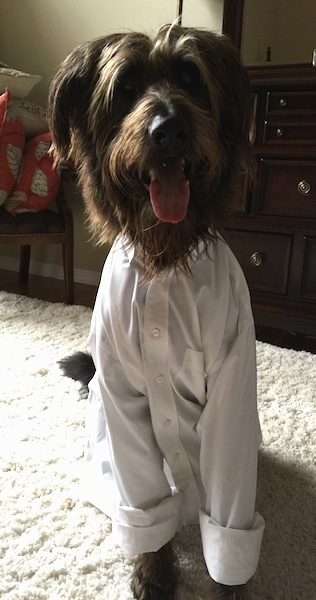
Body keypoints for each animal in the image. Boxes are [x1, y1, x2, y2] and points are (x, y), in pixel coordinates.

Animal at [48, 23, 264, 600]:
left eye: (190, 78)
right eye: (125, 88)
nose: (168, 130)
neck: (164, 259)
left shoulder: (233, 388)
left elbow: (228, 521)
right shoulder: (120, 393)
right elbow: (145, 508)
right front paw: (153, 570)